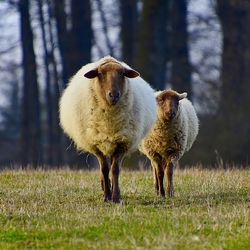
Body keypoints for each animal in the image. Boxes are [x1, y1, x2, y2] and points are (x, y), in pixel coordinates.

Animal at [59, 55, 156, 202]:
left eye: (122, 73)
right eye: (100, 73)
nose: (114, 95)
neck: (109, 121)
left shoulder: (122, 142)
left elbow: (115, 169)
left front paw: (116, 196)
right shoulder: (96, 144)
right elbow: (104, 169)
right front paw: (106, 196)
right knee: (103, 168)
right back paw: (104, 187)